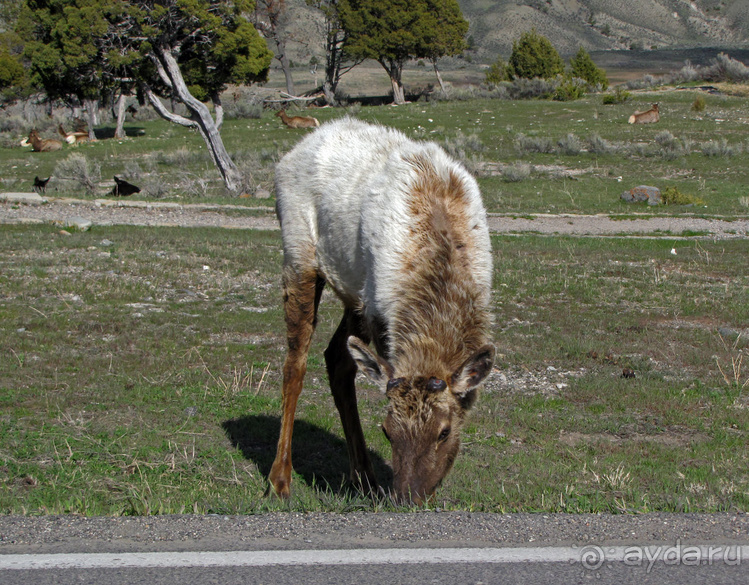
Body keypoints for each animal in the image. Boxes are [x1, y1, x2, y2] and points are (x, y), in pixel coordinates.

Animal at [270, 117, 496, 502]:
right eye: (387, 430)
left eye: (444, 431)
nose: (407, 496)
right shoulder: (378, 311)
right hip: (301, 258)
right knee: (294, 364)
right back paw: (280, 478)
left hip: (353, 293)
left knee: (337, 358)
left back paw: (364, 477)